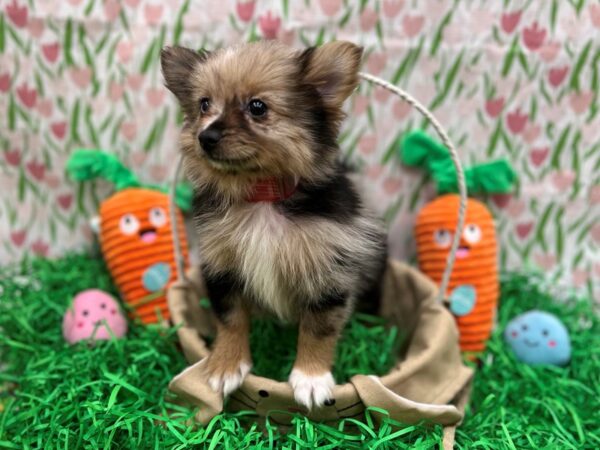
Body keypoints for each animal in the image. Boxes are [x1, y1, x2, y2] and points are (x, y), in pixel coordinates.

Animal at [162, 40, 386, 410]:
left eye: (257, 107)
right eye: (204, 104)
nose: (205, 136)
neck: (261, 195)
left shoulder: (328, 270)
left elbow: (319, 327)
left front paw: (311, 378)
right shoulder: (221, 264)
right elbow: (231, 318)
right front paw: (226, 364)